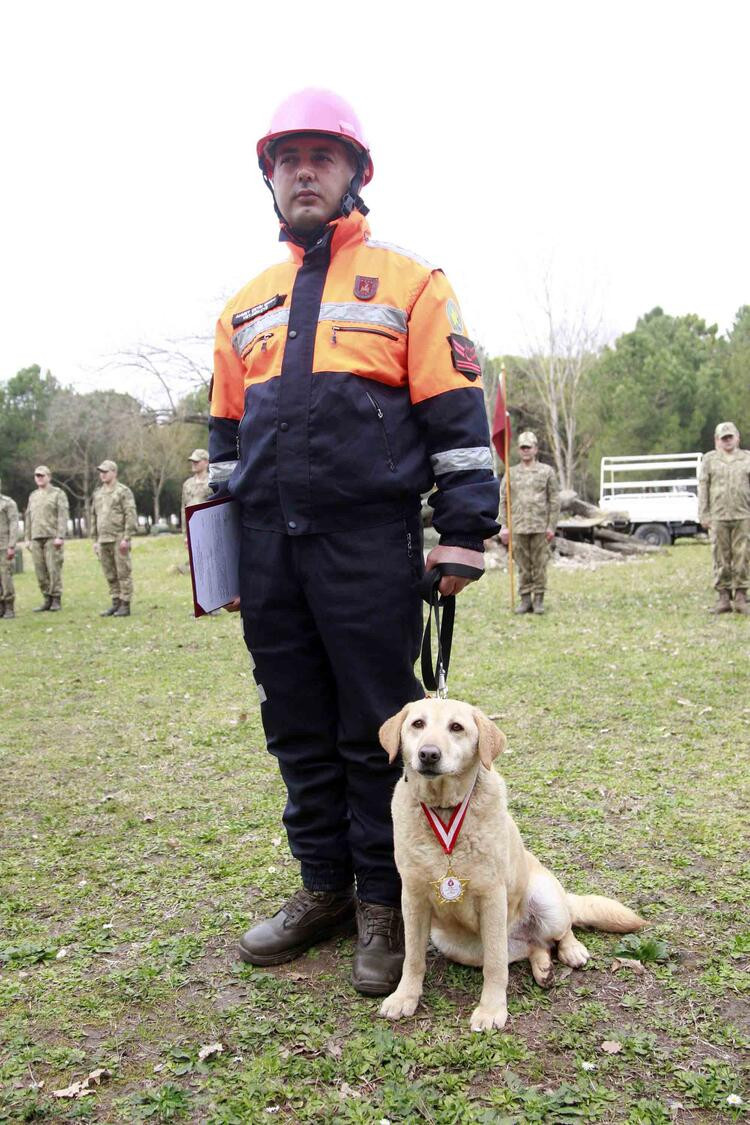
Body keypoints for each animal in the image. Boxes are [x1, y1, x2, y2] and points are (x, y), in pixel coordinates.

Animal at [382, 697, 647, 1030]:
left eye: (456, 727)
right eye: (418, 724)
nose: (428, 754)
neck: (445, 810)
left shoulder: (493, 898)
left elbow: (496, 966)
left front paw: (491, 1009)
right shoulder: (413, 898)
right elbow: (413, 957)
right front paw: (405, 997)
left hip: (547, 902)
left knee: (561, 930)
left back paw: (572, 950)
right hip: (457, 944)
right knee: (535, 946)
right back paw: (543, 968)